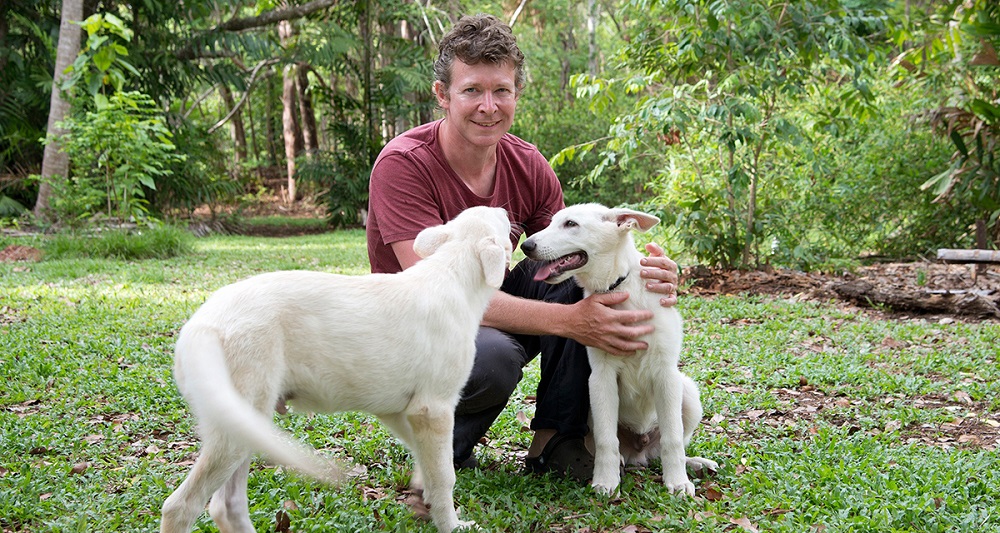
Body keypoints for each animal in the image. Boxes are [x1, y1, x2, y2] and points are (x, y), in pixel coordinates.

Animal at [162, 206, 516, 528]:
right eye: (499, 219)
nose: (504, 208)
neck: (452, 273)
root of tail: (201, 325)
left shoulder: (397, 411)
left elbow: (429, 462)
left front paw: (420, 486)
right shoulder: (433, 410)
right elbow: (444, 477)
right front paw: (451, 524)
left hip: (246, 422)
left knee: (227, 505)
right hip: (234, 428)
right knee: (180, 506)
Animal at [520, 203, 716, 494]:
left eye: (570, 224)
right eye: (551, 223)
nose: (526, 246)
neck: (617, 288)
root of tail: (639, 450)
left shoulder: (666, 373)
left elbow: (672, 439)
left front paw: (678, 482)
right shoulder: (601, 376)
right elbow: (605, 440)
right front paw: (606, 481)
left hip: (687, 392)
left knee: (667, 445)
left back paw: (694, 463)